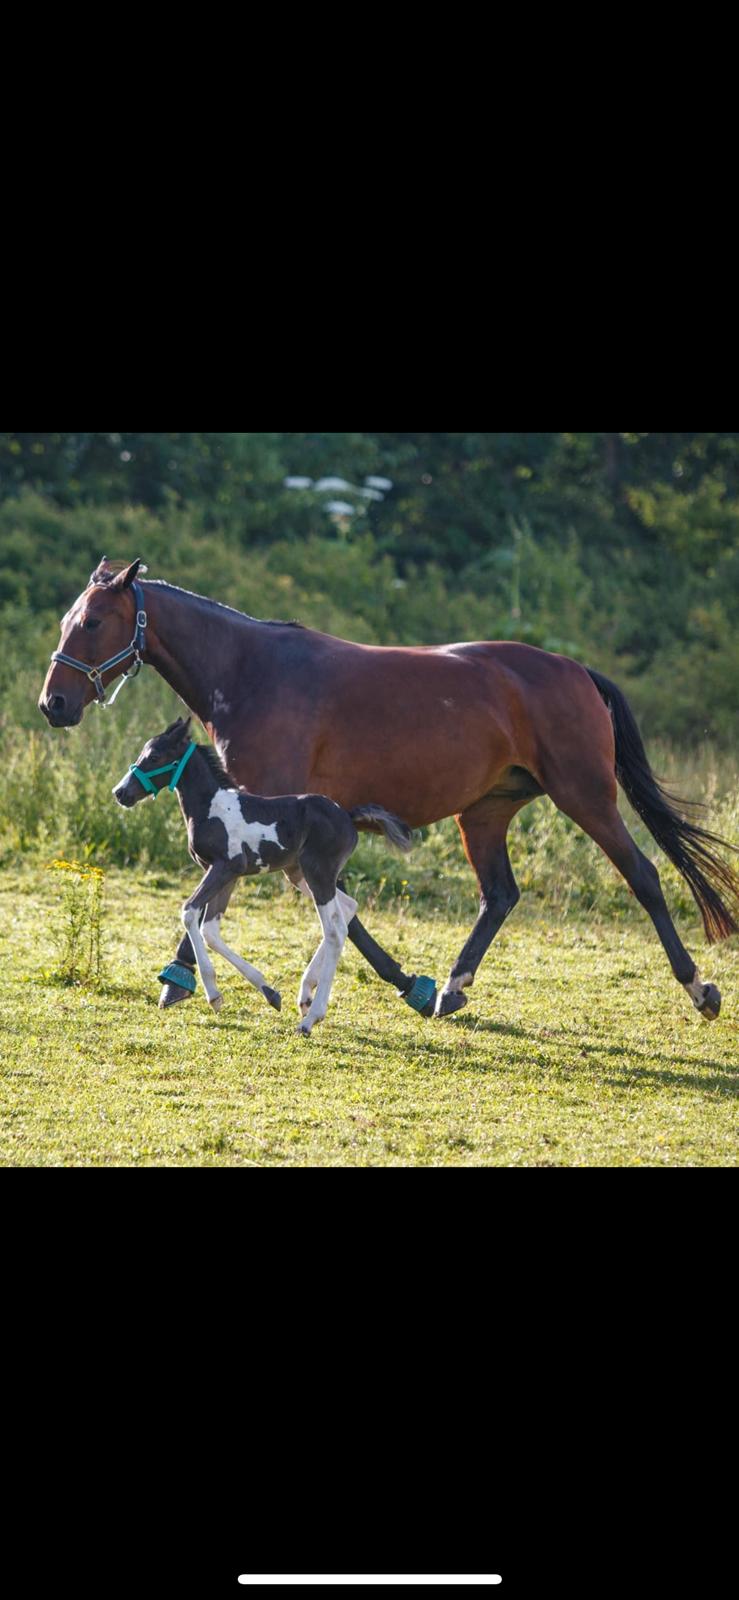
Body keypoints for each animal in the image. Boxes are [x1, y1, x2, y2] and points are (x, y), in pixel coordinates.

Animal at [115, 716, 415, 1036]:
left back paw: (310, 1019)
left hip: (318, 873)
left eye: (154, 757)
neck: (210, 808)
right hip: (298, 874)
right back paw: (305, 994)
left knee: (334, 931)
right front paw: (266, 992)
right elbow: (210, 930)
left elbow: (189, 911)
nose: (120, 793)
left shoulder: (225, 867)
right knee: (347, 910)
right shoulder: (226, 874)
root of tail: (348, 816)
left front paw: (214, 994)